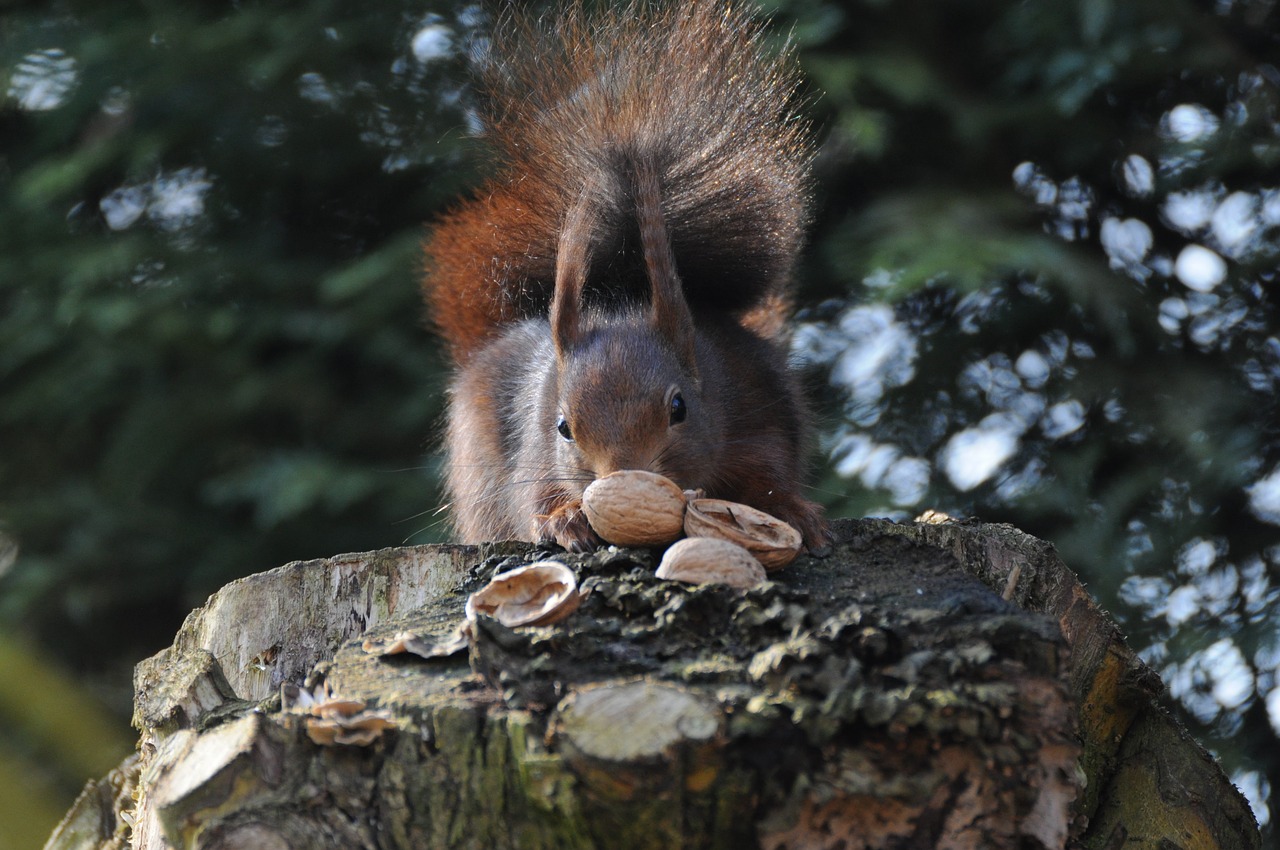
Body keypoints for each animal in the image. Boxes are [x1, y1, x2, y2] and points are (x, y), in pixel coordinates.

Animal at [427, 0, 829, 555]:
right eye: (563, 427)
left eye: (680, 407)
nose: (624, 477)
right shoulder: (535, 444)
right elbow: (534, 493)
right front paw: (565, 519)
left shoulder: (756, 407)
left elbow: (769, 473)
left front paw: (792, 512)